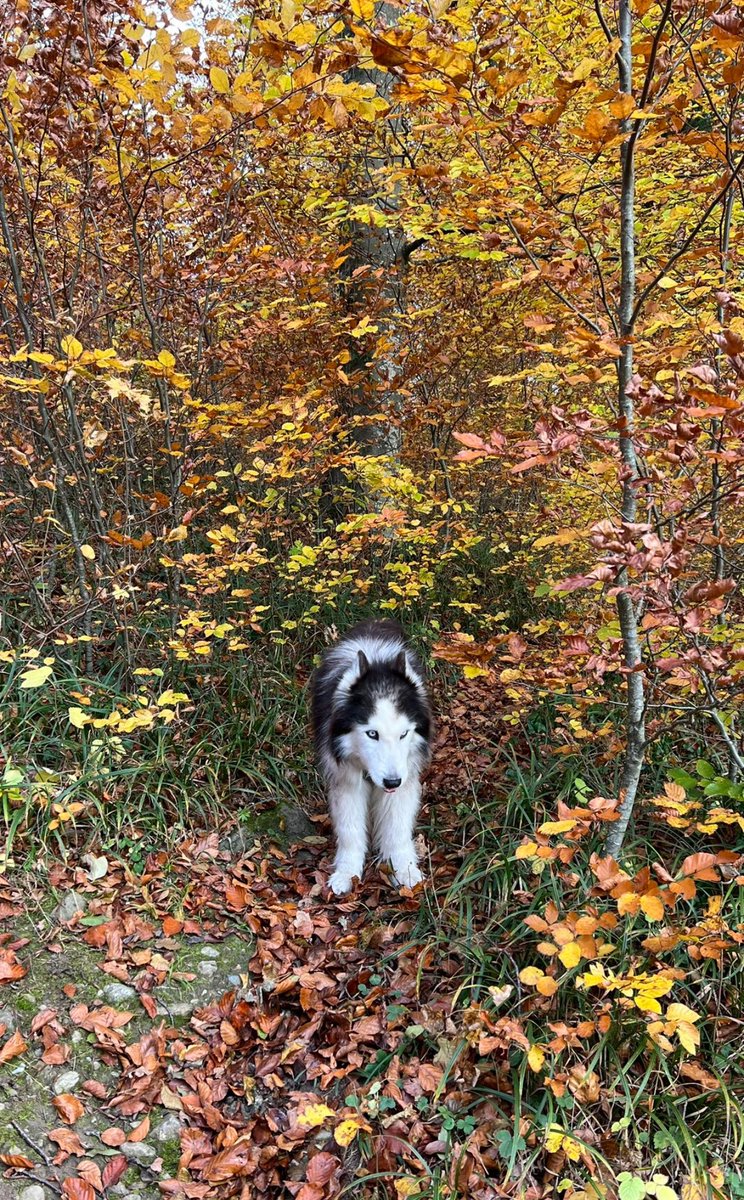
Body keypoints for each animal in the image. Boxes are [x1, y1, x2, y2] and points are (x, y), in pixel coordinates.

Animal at [312, 624, 432, 897]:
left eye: (404, 734)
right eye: (372, 734)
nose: (391, 782)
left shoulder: (405, 782)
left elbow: (397, 830)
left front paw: (405, 870)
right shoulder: (347, 783)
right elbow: (350, 831)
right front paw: (347, 873)